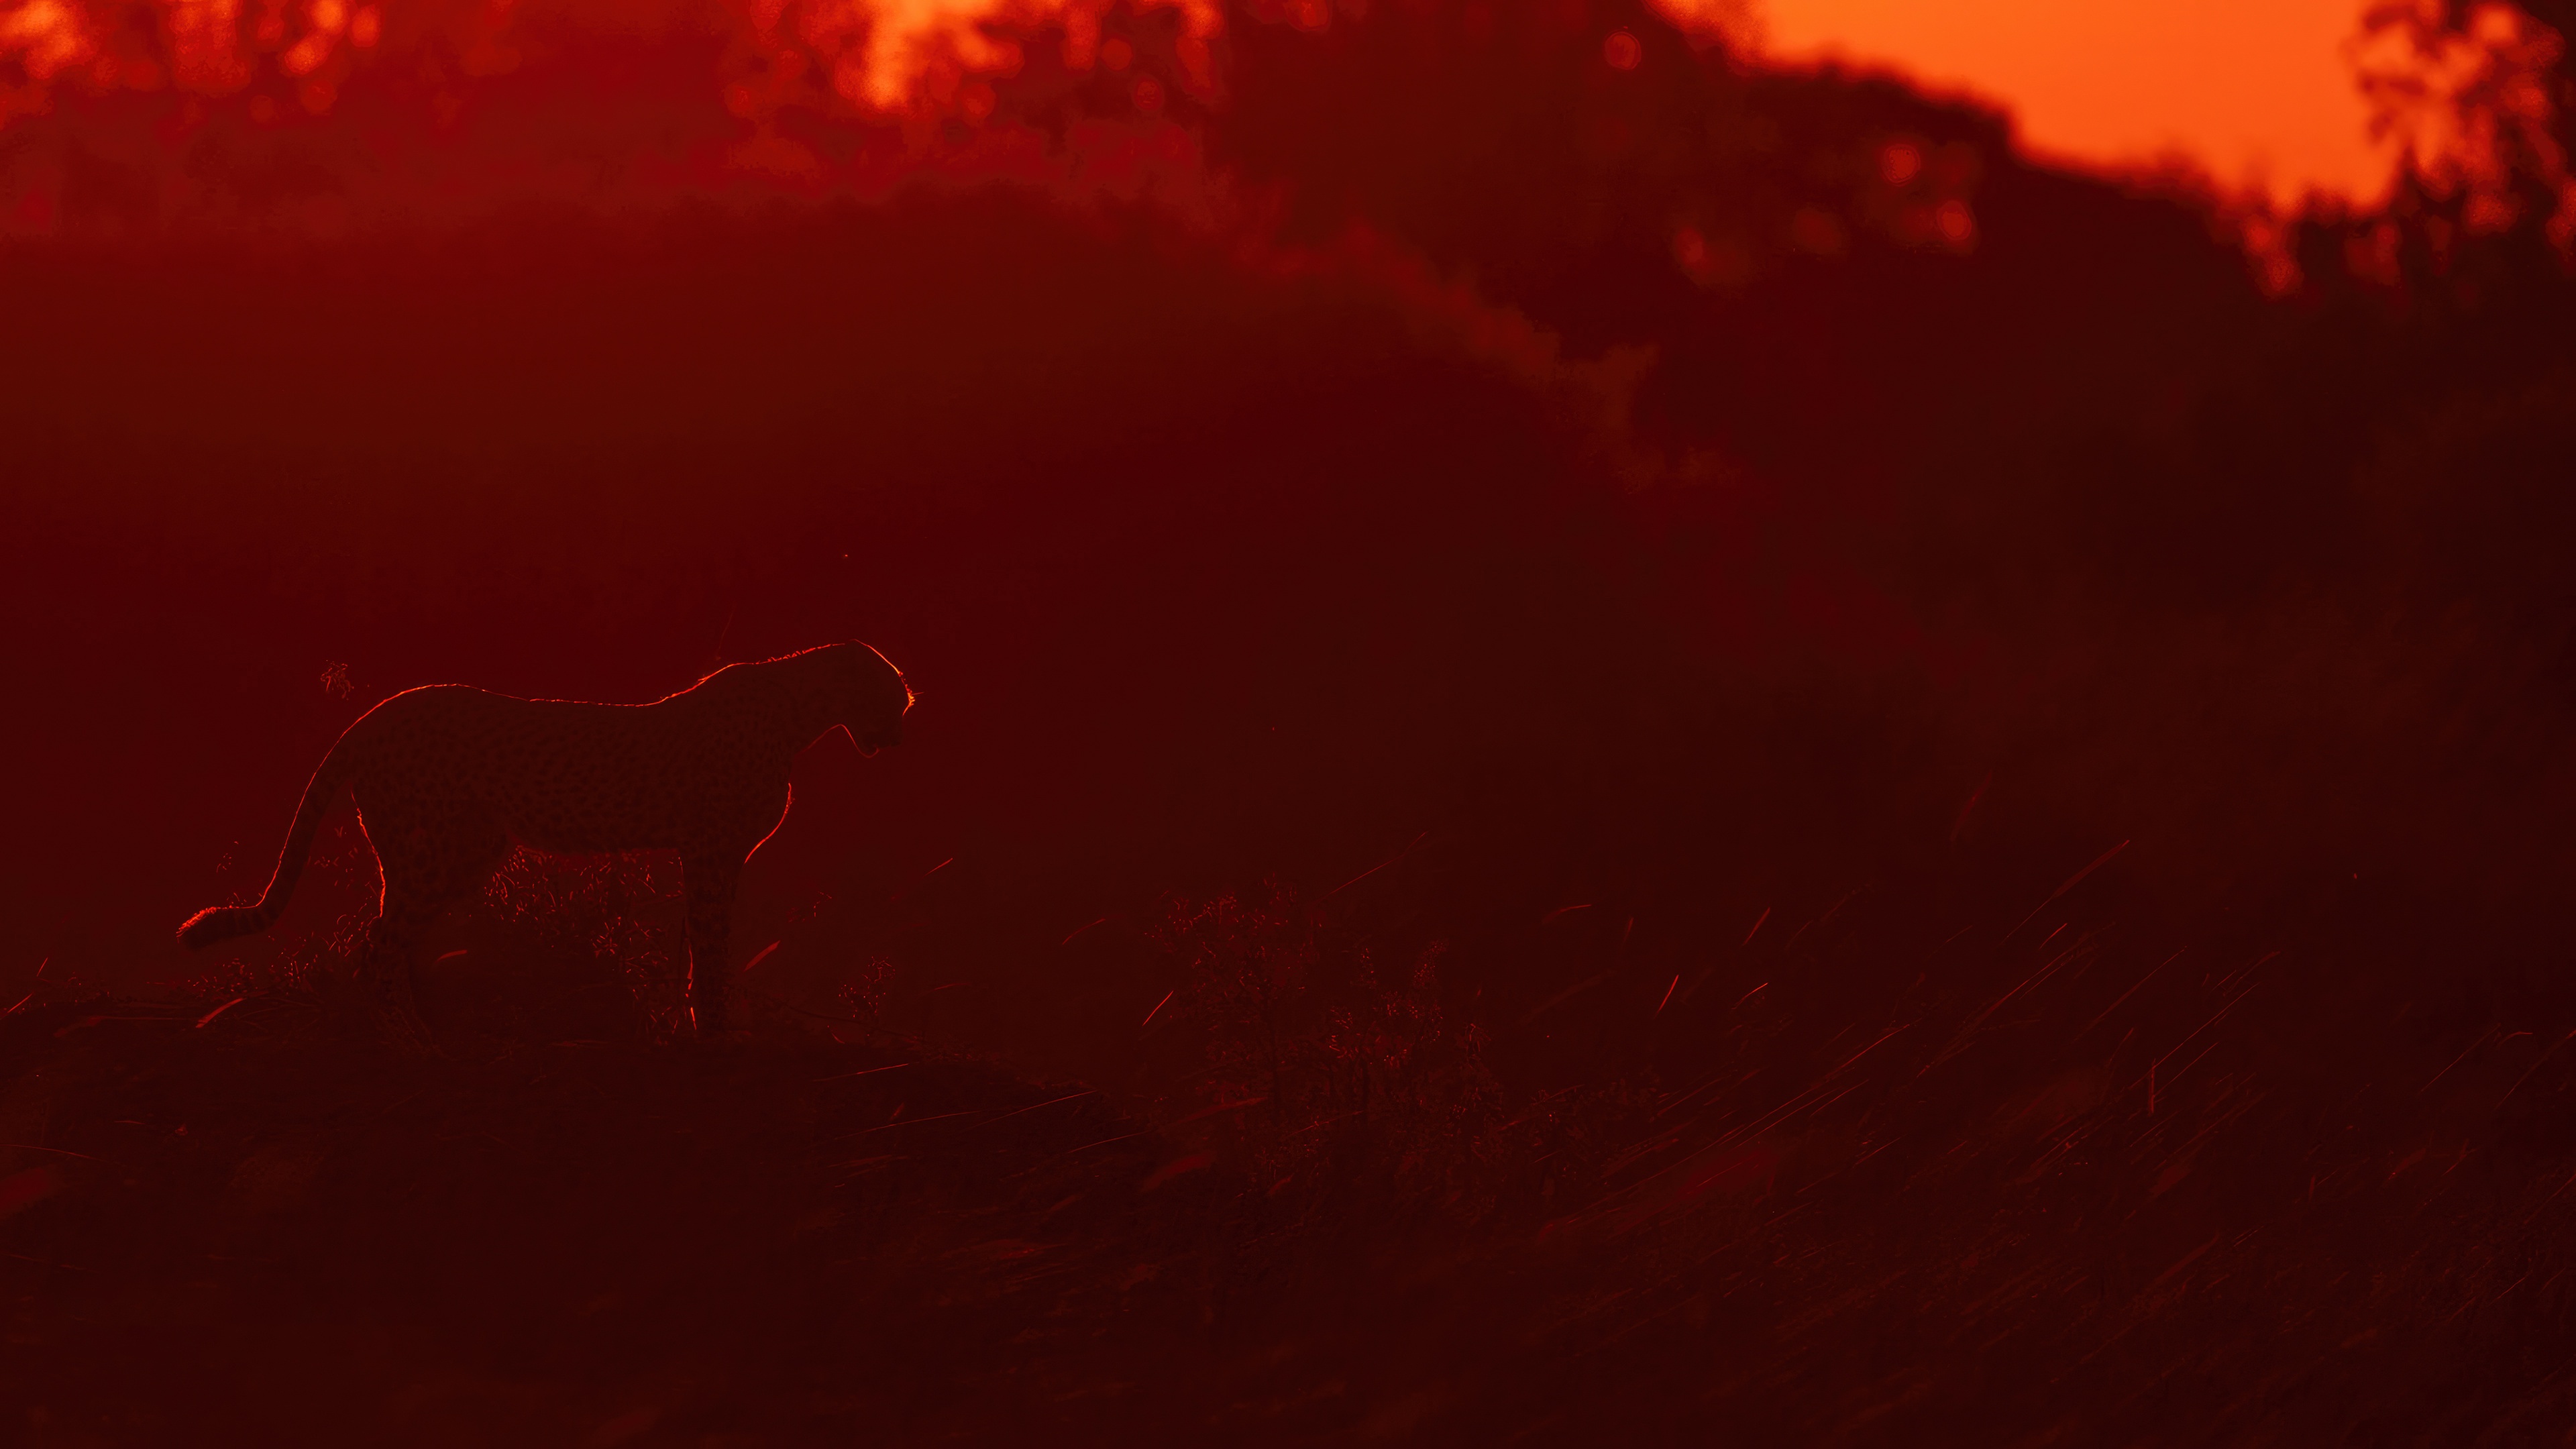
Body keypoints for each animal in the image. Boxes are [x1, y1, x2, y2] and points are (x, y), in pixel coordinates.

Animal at [178, 641, 913, 1040]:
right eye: (895, 694)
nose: (901, 732)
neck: (803, 708)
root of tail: (377, 711)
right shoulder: (712, 851)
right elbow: (710, 949)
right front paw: (716, 1033)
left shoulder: (703, 853)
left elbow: (695, 947)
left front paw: (695, 1027)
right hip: (432, 855)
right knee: (375, 950)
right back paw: (410, 1045)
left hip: (457, 855)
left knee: (388, 941)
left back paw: (428, 1033)